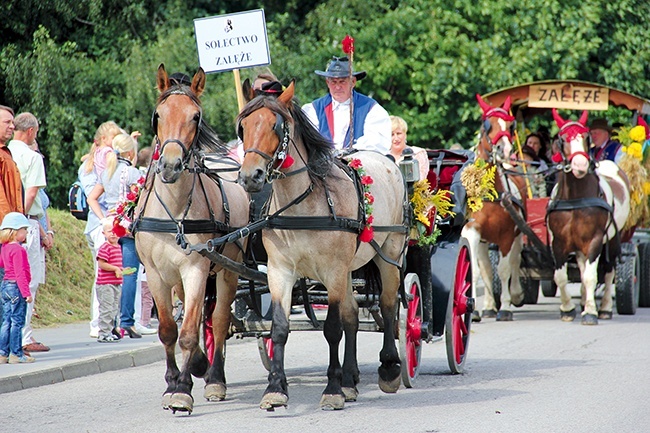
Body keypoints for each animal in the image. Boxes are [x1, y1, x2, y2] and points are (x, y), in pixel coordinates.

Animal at [133, 64, 249, 412]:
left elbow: (187, 333)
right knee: (196, 317)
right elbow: (169, 330)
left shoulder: (196, 269)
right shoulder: (156, 274)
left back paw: (214, 377)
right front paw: (172, 382)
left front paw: (183, 389)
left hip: (228, 270)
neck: (172, 212)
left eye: (195, 116)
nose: (170, 165)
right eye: (158, 115)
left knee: (220, 320)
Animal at [235, 81, 408, 408]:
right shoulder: (280, 271)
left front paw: (332, 389)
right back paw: (351, 379)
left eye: (276, 125)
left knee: (389, 305)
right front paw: (275, 388)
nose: (251, 177)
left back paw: (390, 367)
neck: (302, 204)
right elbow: (280, 328)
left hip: (389, 254)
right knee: (353, 316)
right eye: (243, 127)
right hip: (350, 270)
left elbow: (332, 328)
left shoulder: (333, 271)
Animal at [460, 93, 528, 318]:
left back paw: (515, 294)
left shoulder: (507, 235)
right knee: (486, 268)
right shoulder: (471, 230)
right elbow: (474, 271)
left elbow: (505, 269)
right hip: (483, 240)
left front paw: (505, 307)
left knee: (515, 261)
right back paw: (489, 306)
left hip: (517, 234)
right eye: (487, 124)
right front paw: (473, 309)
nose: (504, 149)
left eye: (510, 125)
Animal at [548, 109, 628, 324]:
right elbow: (561, 277)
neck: (575, 198)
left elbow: (592, 277)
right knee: (583, 269)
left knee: (608, 271)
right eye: (562, 139)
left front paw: (591, 312)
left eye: (586, 137)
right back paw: (584, 299)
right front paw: (568, 309)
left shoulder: (595, 239)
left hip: (614, 240)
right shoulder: (558, 242)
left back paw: (605, 308)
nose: (580, 164)